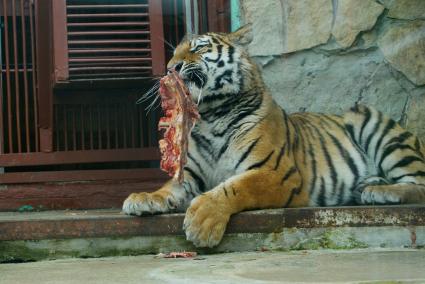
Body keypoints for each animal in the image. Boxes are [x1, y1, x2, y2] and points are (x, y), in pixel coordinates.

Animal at [121, 25, 424, 246]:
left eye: (200, 47)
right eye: (175, 53)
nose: (171, 68)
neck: (211, 114)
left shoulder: (276, 172)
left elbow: (234, 187)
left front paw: (202, 222)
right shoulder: (191, 175)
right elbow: (168, 188)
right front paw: (143, 198)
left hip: (368, 120)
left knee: (419, 183)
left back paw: (382, 192)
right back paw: (367, 187)